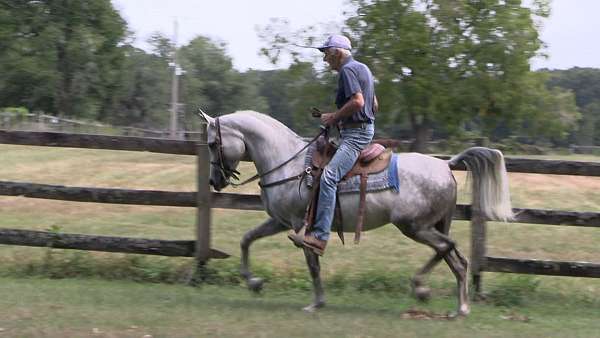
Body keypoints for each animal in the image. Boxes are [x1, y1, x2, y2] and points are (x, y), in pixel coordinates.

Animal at [197, 110, 510, 314]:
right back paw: (456, 305)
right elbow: (246, 239)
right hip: (432, 225)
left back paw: (428, 291)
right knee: (455, 257)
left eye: (213, 143)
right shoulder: (280, 221)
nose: (214, 181)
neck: (289, 164)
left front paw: (316, 302)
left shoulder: (300, 224)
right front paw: (254, 282)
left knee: (449, 249)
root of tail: (446, 164)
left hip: (414, 226)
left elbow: (312, 263)